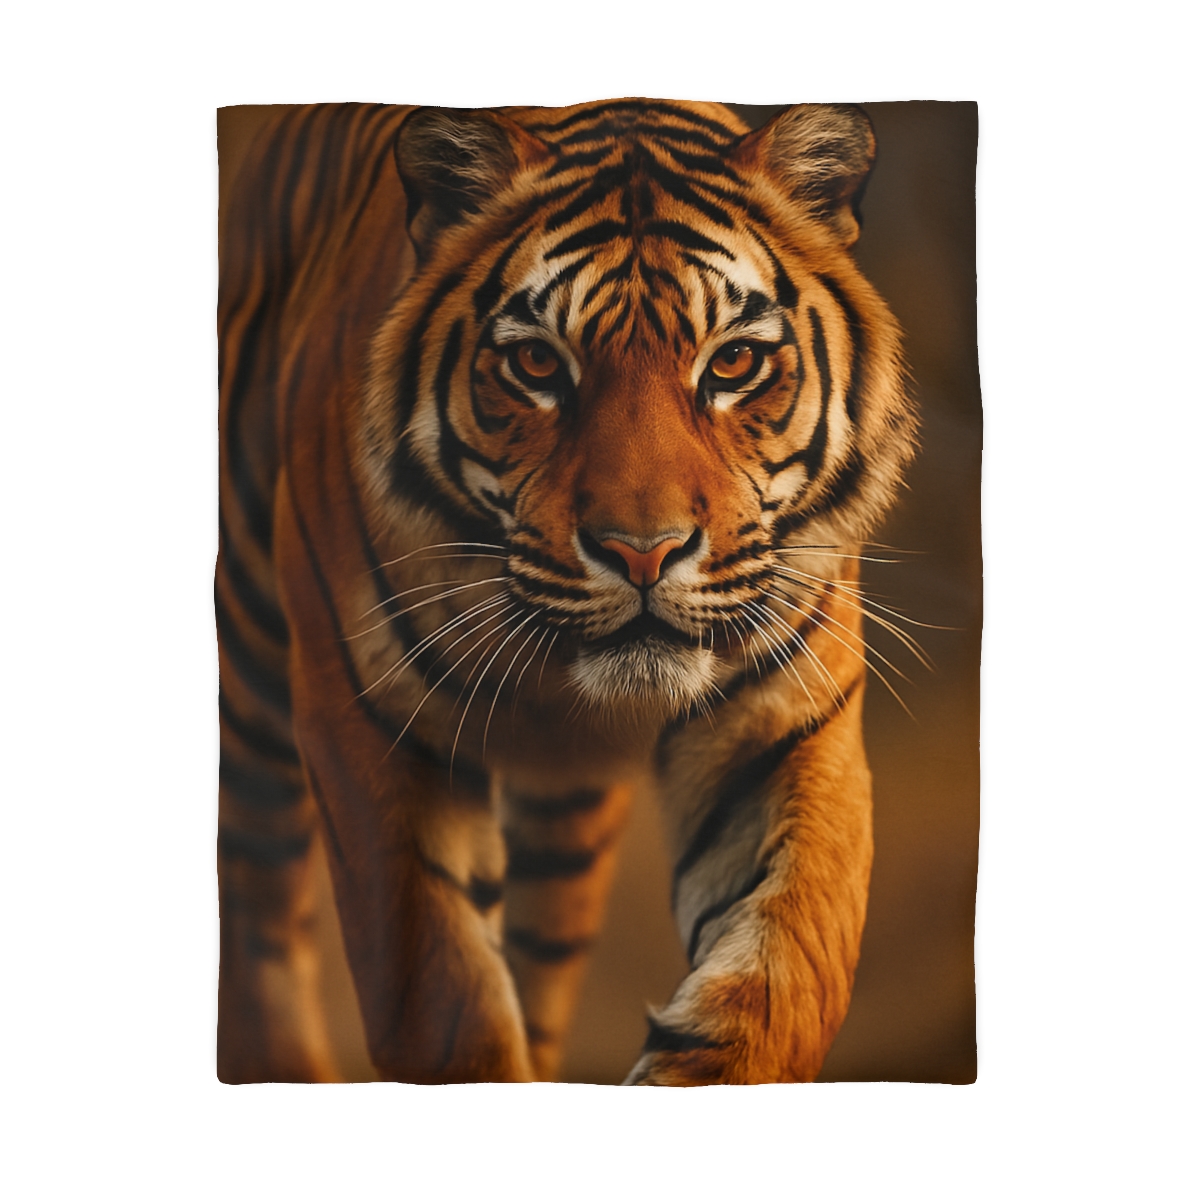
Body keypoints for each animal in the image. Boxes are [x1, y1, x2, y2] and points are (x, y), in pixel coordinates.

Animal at [217, 98, 917, 1085]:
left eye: (733, 364)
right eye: (539, 367)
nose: (643, 552)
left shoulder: (784, 731)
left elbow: (784, 978)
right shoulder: (373, 727)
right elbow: (445, 1001)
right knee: (258, 896)